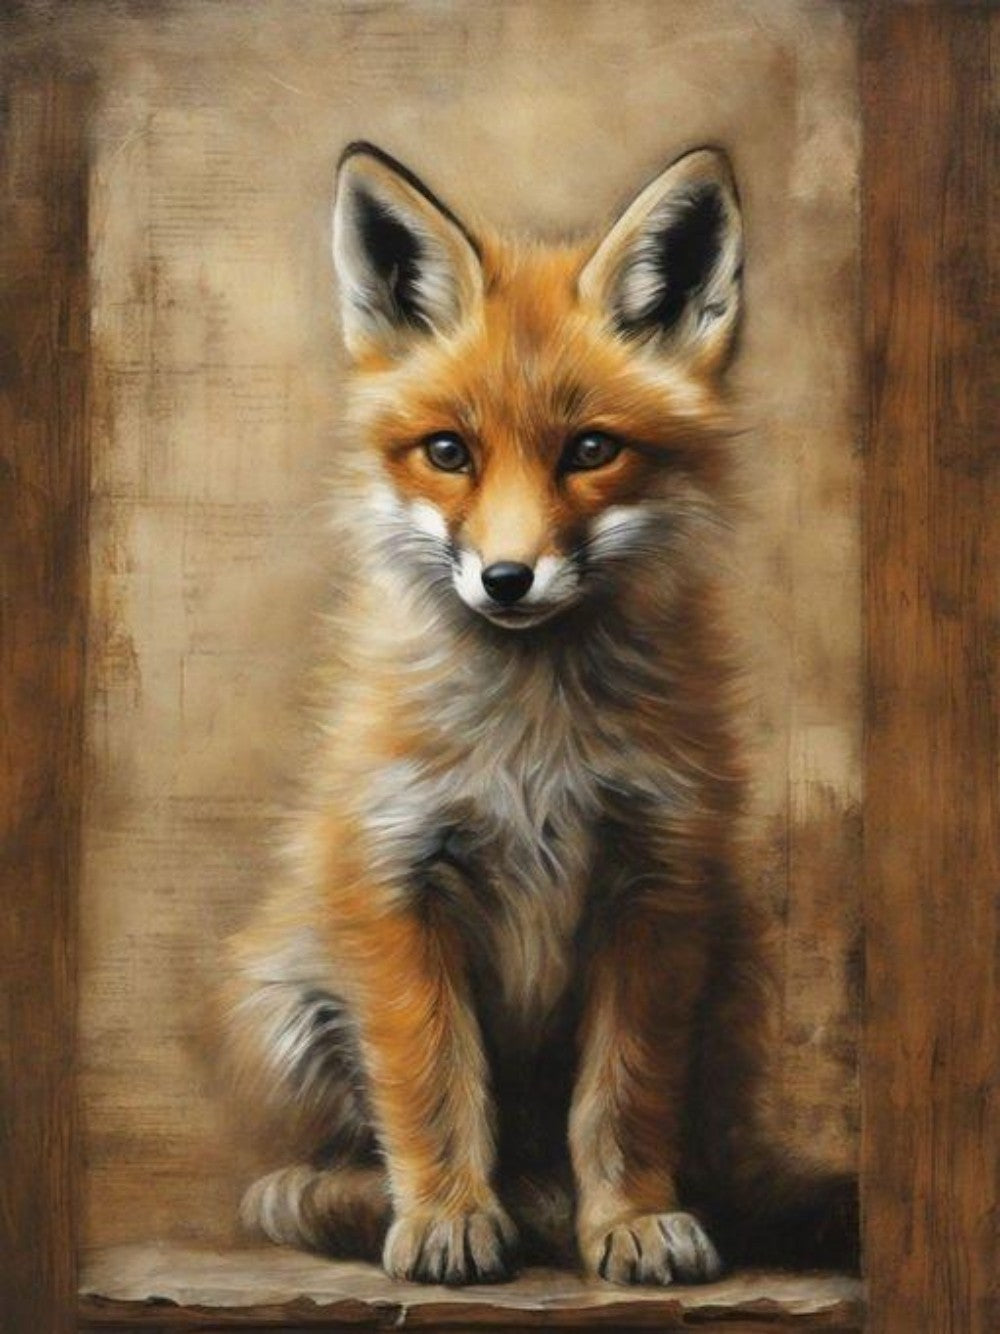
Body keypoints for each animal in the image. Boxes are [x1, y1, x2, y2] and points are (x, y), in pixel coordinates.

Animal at [222, 142, 858, 1287]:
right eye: (447, 452)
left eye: (591, 450)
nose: (507, 579)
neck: (533, 740)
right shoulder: (396, 879)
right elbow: (431, 1086)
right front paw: (445, 1216)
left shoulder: (655, 882)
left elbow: (623, 1097)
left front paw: (631, 1218)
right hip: (287, 1000)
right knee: (285, 1186)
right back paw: (433, 1202)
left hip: (731, 975)